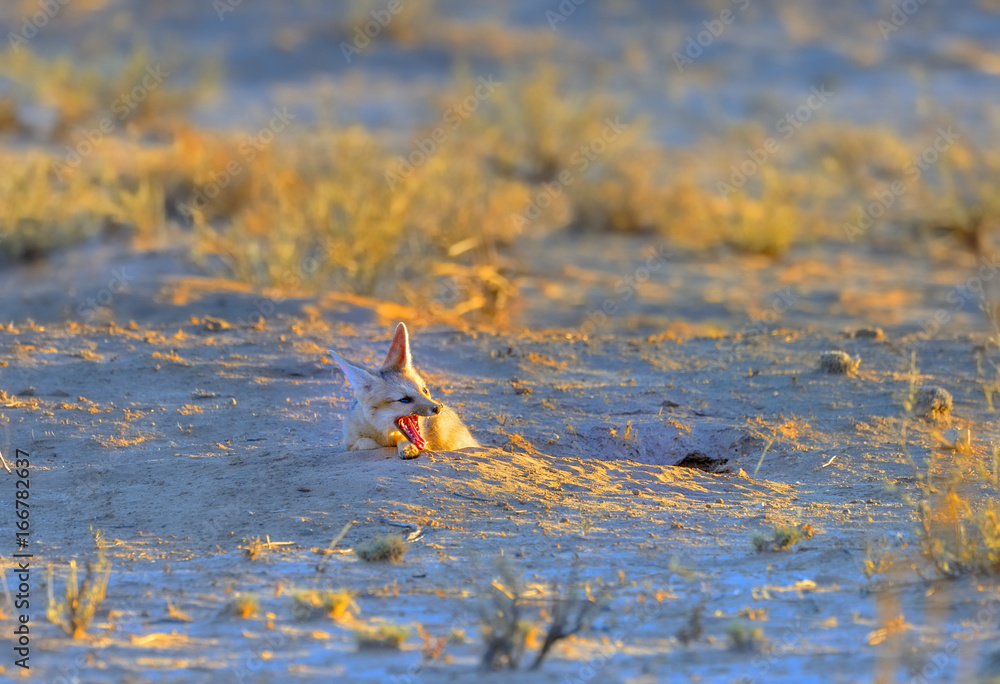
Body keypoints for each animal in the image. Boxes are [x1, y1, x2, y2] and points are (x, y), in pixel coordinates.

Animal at [328, 322, 479, 459]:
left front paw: (407, 447)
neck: (386, 436)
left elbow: (403, 439)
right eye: (404, 400)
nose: (438, 408)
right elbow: (367, 443)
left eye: (424, 390)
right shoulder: (350, 443)